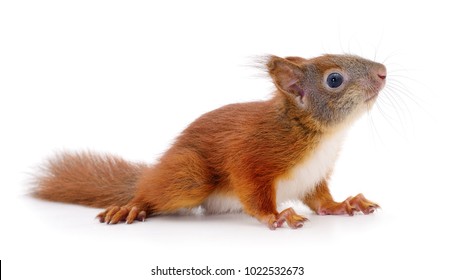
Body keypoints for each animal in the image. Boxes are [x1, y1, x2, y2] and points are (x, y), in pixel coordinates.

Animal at [32, 53, 384, 229]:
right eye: (334, 79)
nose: (382, 72)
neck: (322, 136)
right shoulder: (253, 153)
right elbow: (252, 190)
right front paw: (275, 216)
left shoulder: (314, 175)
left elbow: (321, 200)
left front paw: (345, 204)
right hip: (190, 175)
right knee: (152, 193)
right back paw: (132, 206)